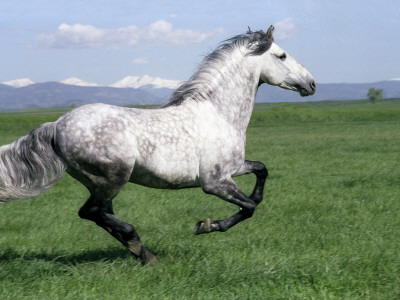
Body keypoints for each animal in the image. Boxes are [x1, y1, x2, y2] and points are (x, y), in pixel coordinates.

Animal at [0, 26, 316, 264]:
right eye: (282, 55)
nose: (311, 84)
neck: (219, 114)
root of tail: (56, 125)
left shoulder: (234, 167)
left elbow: (262, 171)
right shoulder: (215, 182)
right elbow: (248, 207)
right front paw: (206, 226)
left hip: (98, 182)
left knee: (102, 214)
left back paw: (141, 252)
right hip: (113, 177)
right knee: (90, 213)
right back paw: (139, 245)